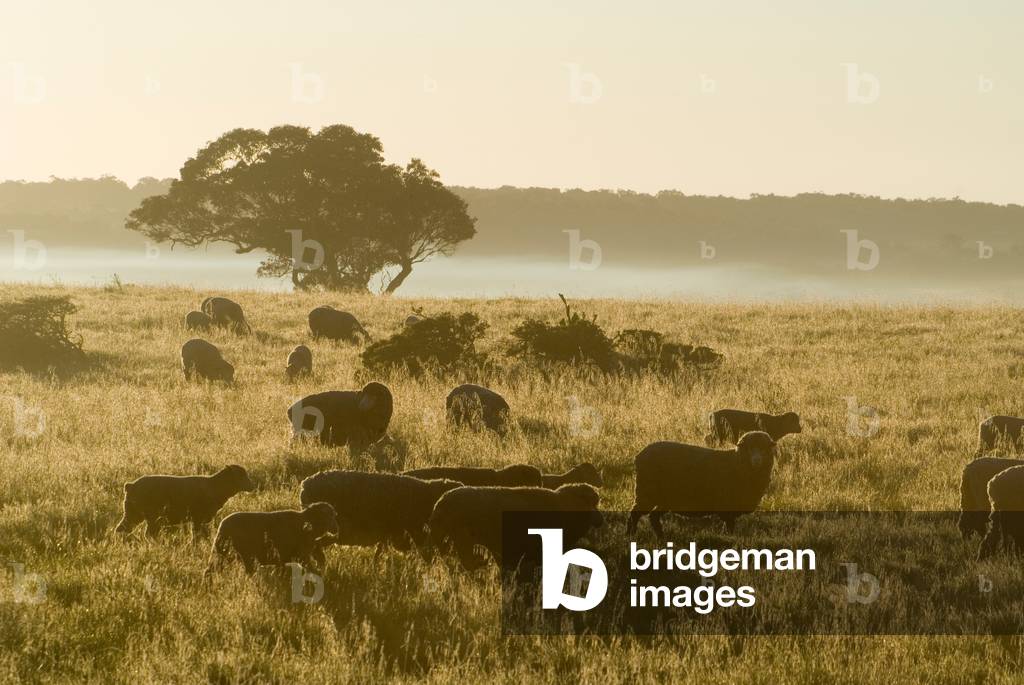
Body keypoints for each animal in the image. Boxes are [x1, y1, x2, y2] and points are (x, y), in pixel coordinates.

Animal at [114, 464, 254, 538]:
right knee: (147, 534)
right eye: (240, 476)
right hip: (149, 515)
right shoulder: (198, 518)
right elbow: (196, 536)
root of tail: (130, 485)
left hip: (133, 513)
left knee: (121, 528)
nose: (252, 486)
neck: (215, 486)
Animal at [206, 502, 339, 574]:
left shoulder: (285, 557)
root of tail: (222, 524)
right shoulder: (300, 555)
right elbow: (312, 570)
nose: (336, 528)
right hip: (228, 553)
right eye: (328, 515)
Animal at [627, 431, 777, 536]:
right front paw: (729, 537)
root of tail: (638, 456)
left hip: (664, 498)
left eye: (764, 448)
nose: (757, 460)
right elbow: (729, 525)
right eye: (749, 448)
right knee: (635, 514)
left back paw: (661, 537)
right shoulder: (727, 505)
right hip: (646, 491)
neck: (737, 463)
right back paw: (630, 535)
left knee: (653, 517)